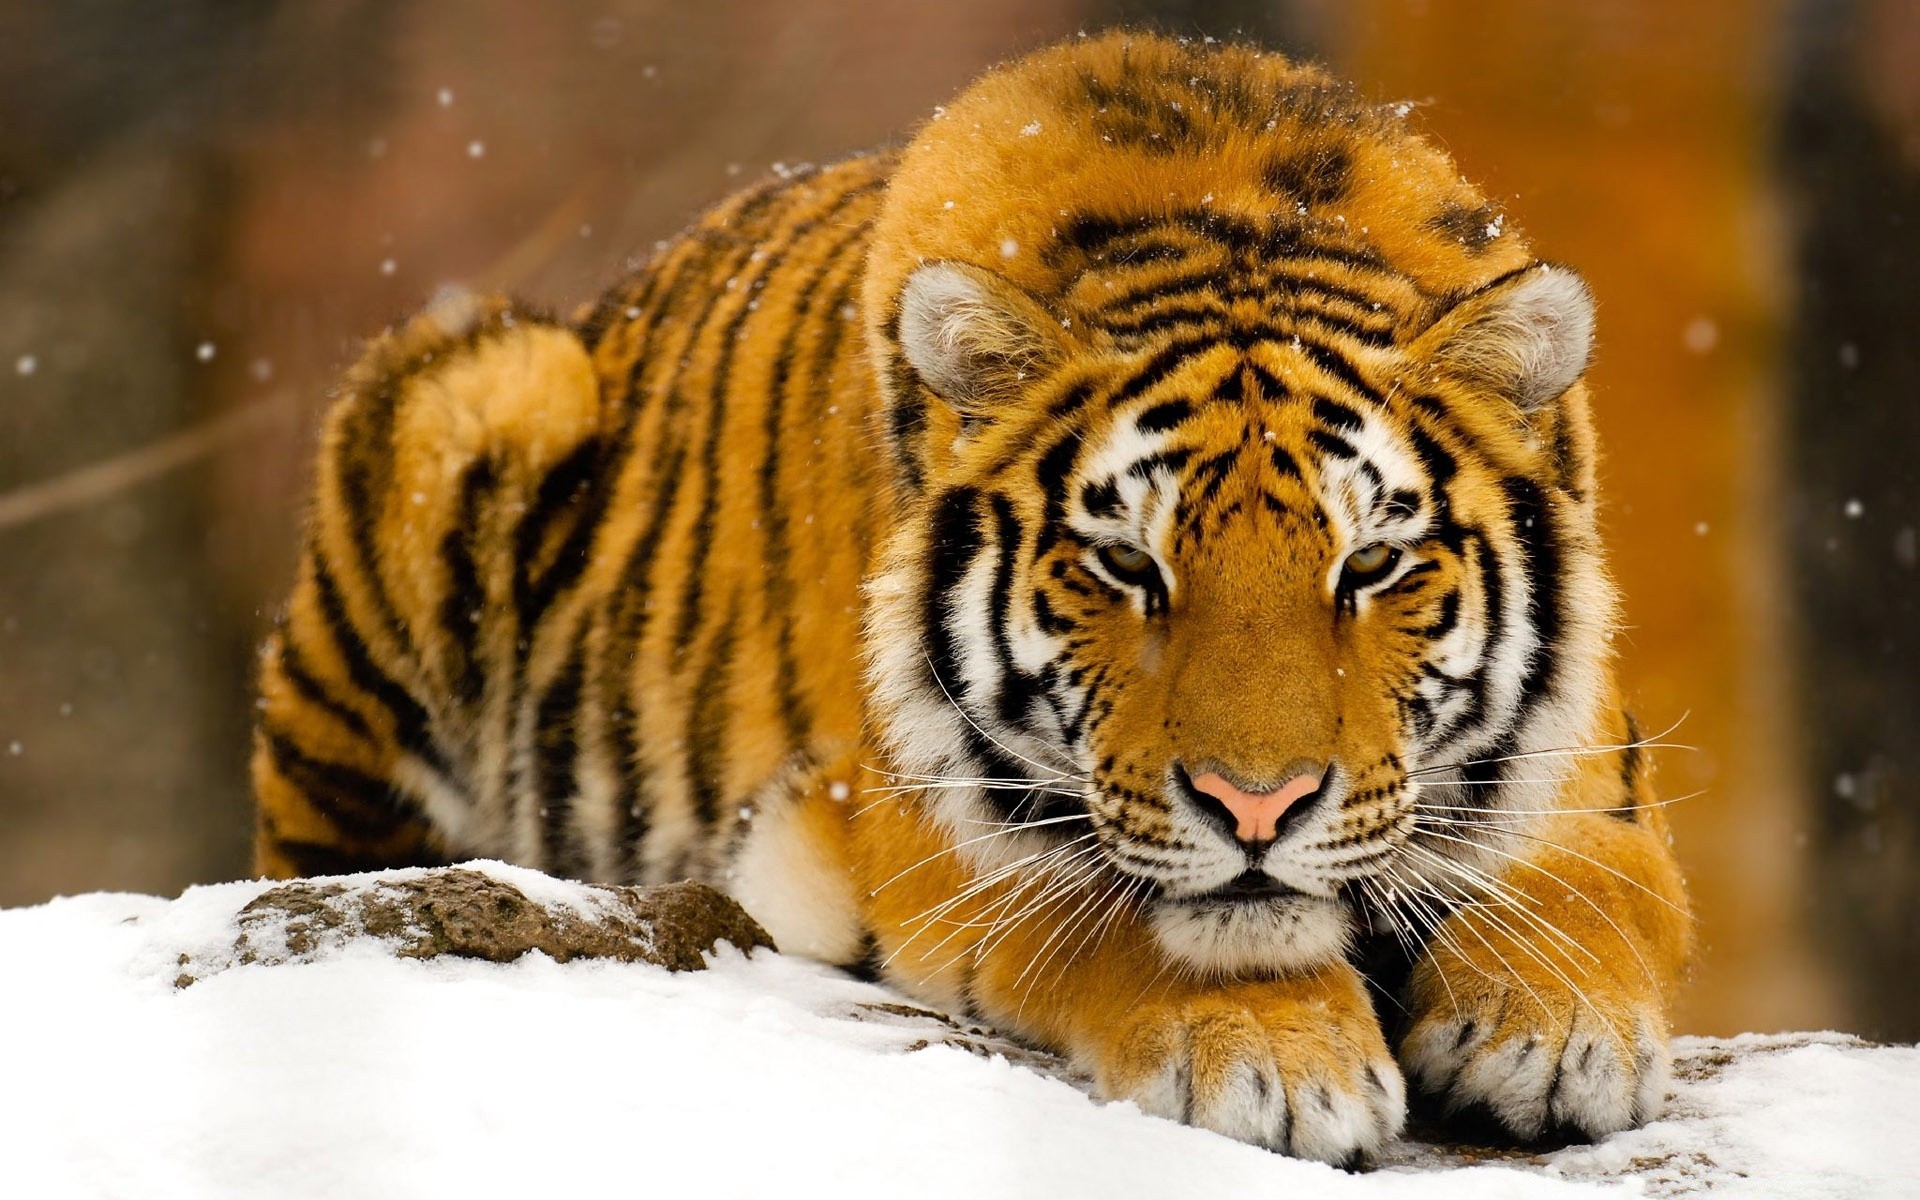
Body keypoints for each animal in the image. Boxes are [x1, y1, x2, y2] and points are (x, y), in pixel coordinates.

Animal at [247, 35, 1689, 1159]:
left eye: (1370, 565)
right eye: (1127, 565)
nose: (1257, 808)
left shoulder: (1591, 772)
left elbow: (1592, 888)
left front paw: (1555, 1034)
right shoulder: (918, 819)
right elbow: (1123, 910)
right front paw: (1275, 1058)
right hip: (472, 399)